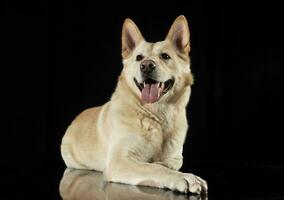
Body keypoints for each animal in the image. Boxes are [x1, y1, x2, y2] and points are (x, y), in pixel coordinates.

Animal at [61, 14, 207, 195]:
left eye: (165, 56)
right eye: (139, 58)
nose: (146, 65)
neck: (156, 116)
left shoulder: (175, 157)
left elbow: (168, 164)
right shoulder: (119, 162)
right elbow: (154, 168)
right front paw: (185, 177)